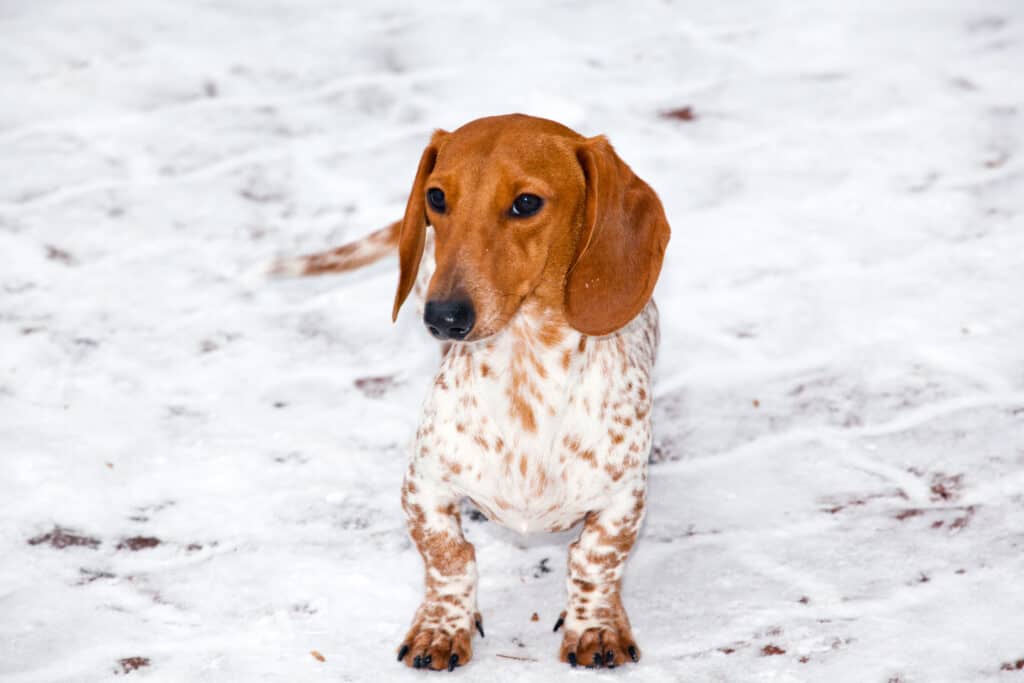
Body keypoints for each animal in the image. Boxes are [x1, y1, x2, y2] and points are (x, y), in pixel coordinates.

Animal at [272, 114, 671, 671]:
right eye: (437, 196)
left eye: (526, 203)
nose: (444, 317)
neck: (526, 372)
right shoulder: (423, 485)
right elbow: (449, 557)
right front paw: (440, 630)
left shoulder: (623, 498)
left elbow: (595, 558)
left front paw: (596, 628)